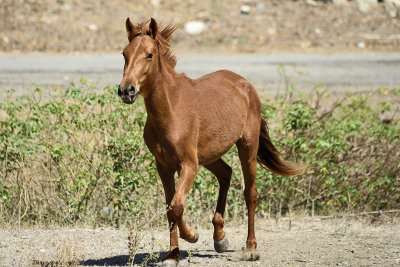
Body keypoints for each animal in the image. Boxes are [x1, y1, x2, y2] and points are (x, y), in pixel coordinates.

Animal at [118, 17, 304, 266]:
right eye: (124, 54)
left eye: (149, 54)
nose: (126, 90)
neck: (171, 111)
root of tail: (244, 83)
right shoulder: (164, 166)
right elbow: (169, 207)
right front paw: (172, 255)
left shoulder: (188, 165)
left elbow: (176, 206)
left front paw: (192, 235)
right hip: (209, 155)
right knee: (226, 174)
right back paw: (220, 238)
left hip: (247, 147)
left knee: (250, 193)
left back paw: (250, 247)